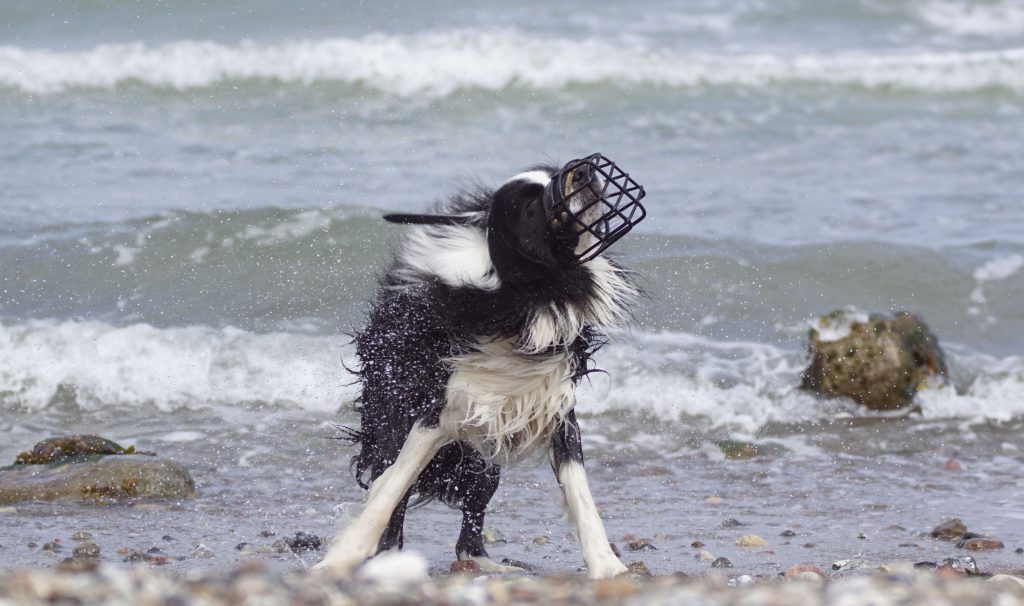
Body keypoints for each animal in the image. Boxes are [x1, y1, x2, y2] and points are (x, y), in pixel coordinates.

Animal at [313, 153, 647, 581]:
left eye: (553, 174)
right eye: (529, 204)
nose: (587, 171)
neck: (526, 302)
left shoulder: (558, 410)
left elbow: (581, 494)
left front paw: (608, 566)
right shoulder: (435, 412)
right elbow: (391, 488)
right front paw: (341, 557)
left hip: (484, 466)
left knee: (469, 533)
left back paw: (491, 565)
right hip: (395, 429)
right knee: (394, 492)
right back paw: (391, 559)